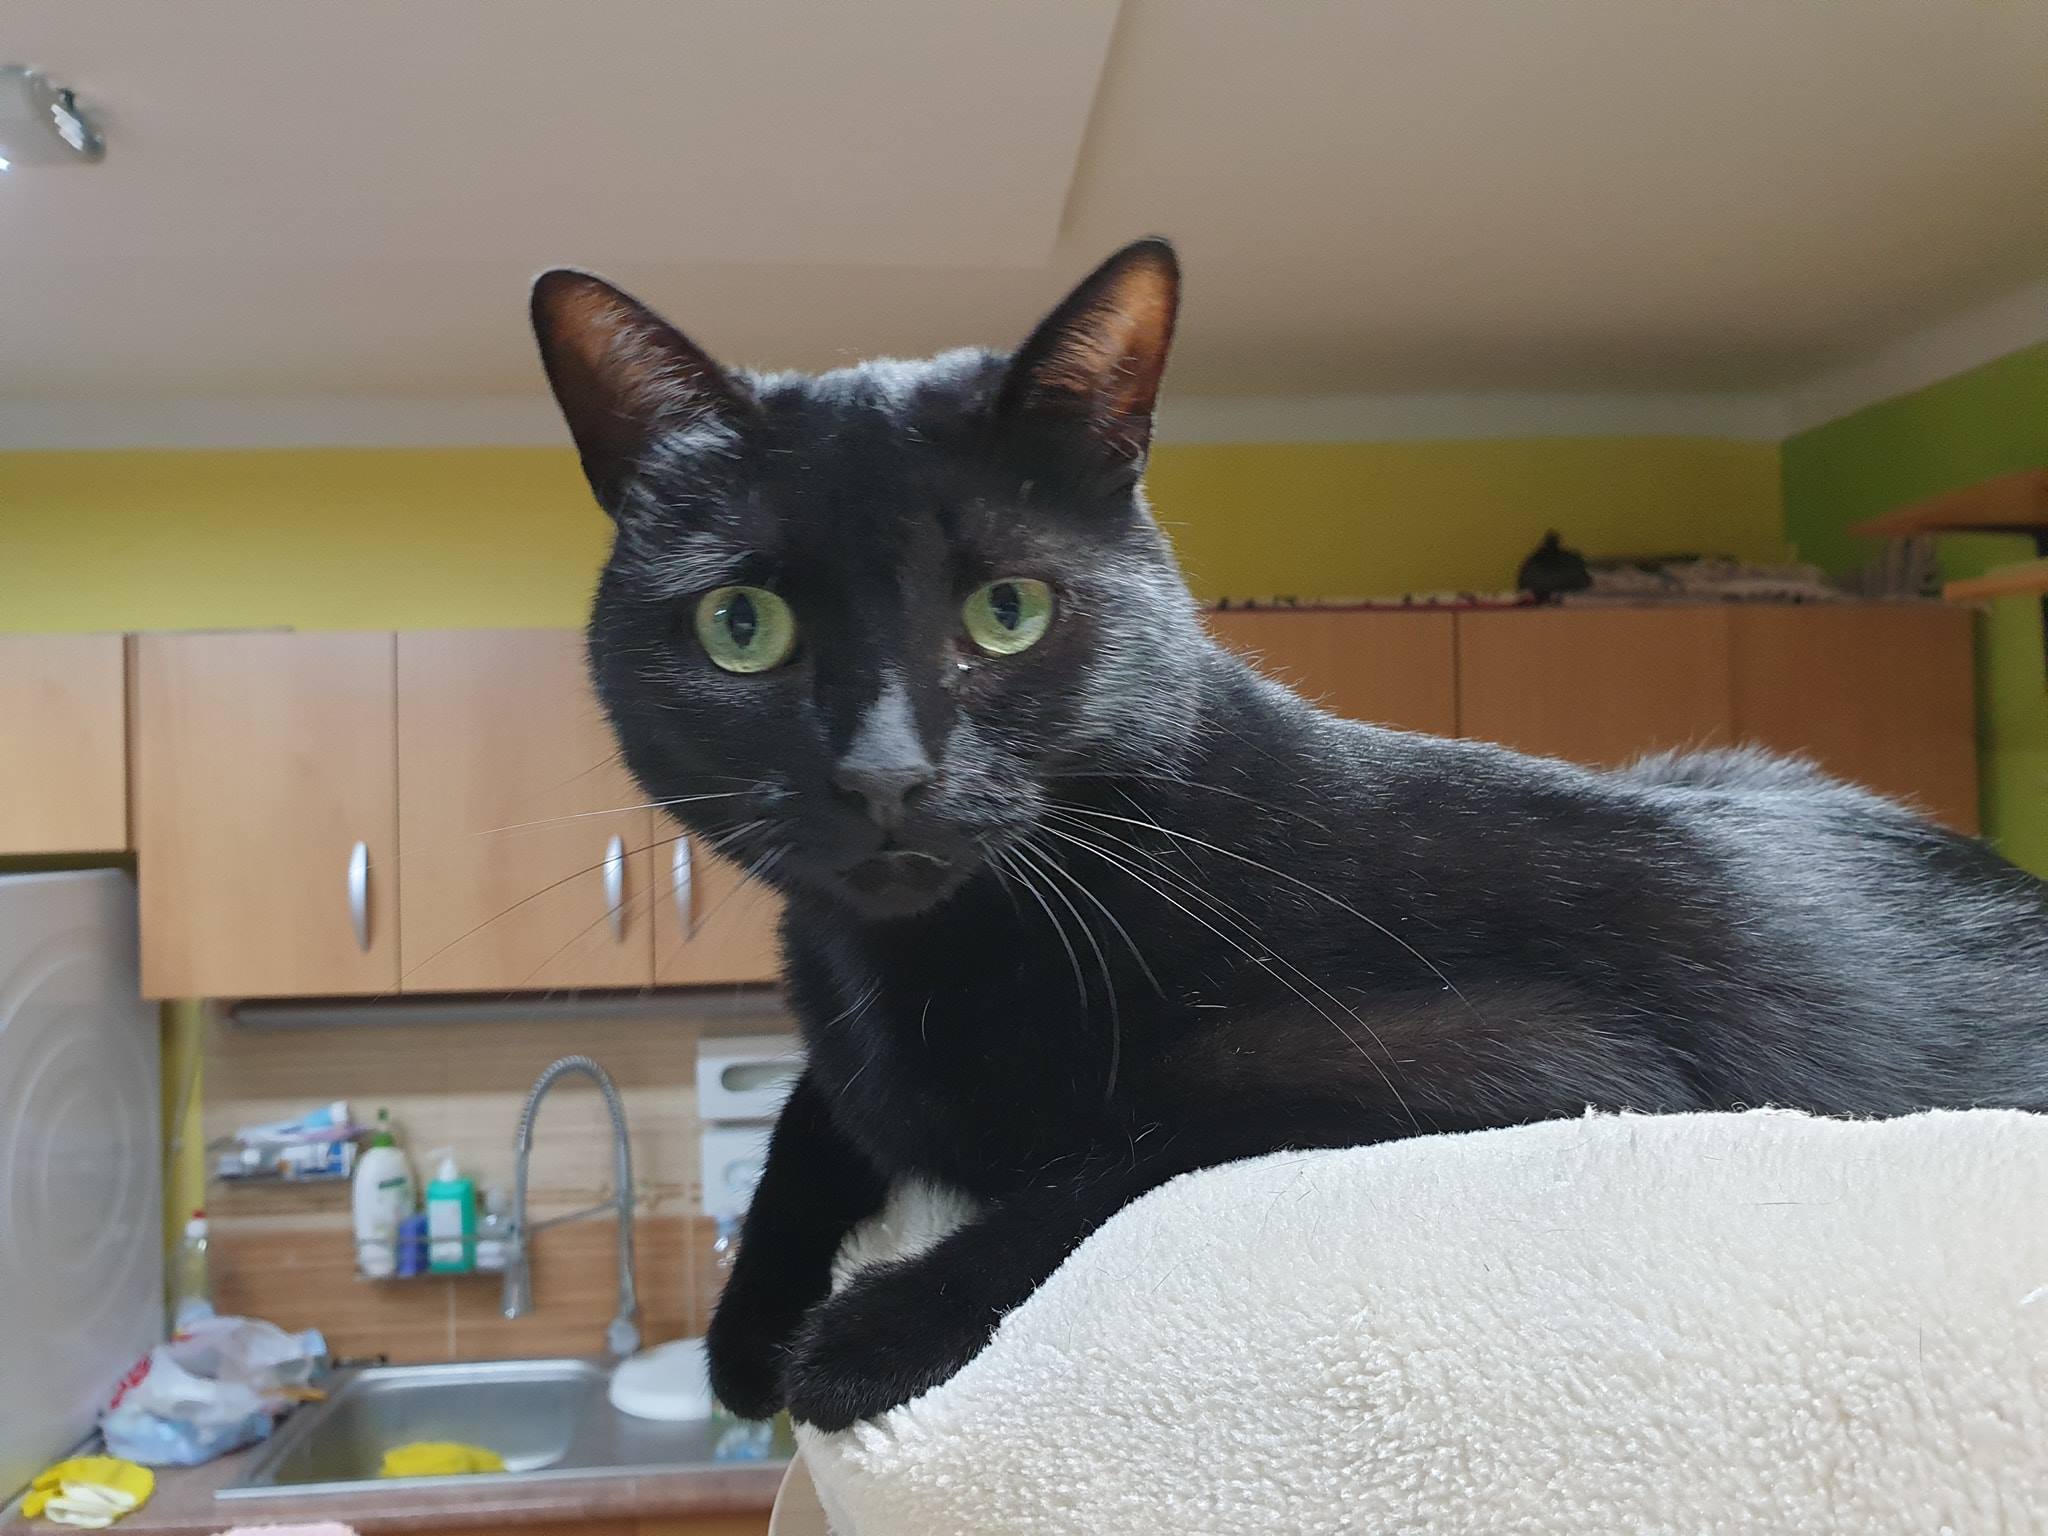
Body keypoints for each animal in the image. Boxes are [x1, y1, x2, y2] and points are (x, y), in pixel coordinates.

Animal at [530, 238, 2048, 1432]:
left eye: (1007, 611)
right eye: (742, 627)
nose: (885, 774)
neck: (921, 967)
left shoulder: (1536, 1069)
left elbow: (1143, 1151)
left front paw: (856, 1336)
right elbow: (812, 1110)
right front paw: (744, 1329)